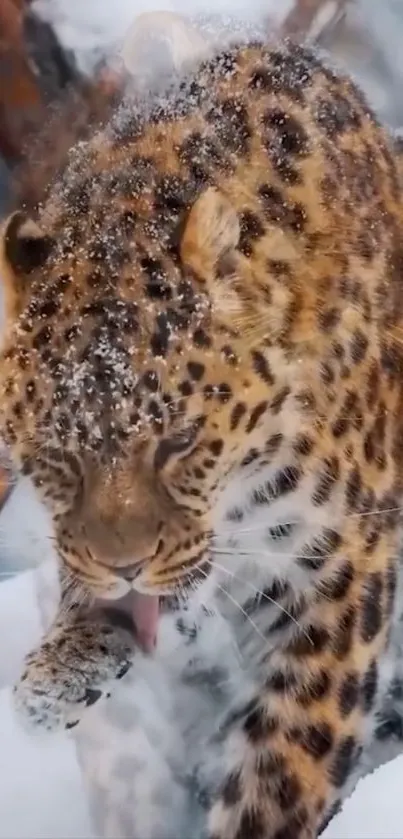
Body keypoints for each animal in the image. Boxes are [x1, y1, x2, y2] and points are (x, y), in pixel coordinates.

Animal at [0, 26, 403, 839]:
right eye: (58, 458)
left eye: (179, 443)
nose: (126, 567)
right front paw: (59, 673)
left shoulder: (343, 571)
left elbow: (287, 763)